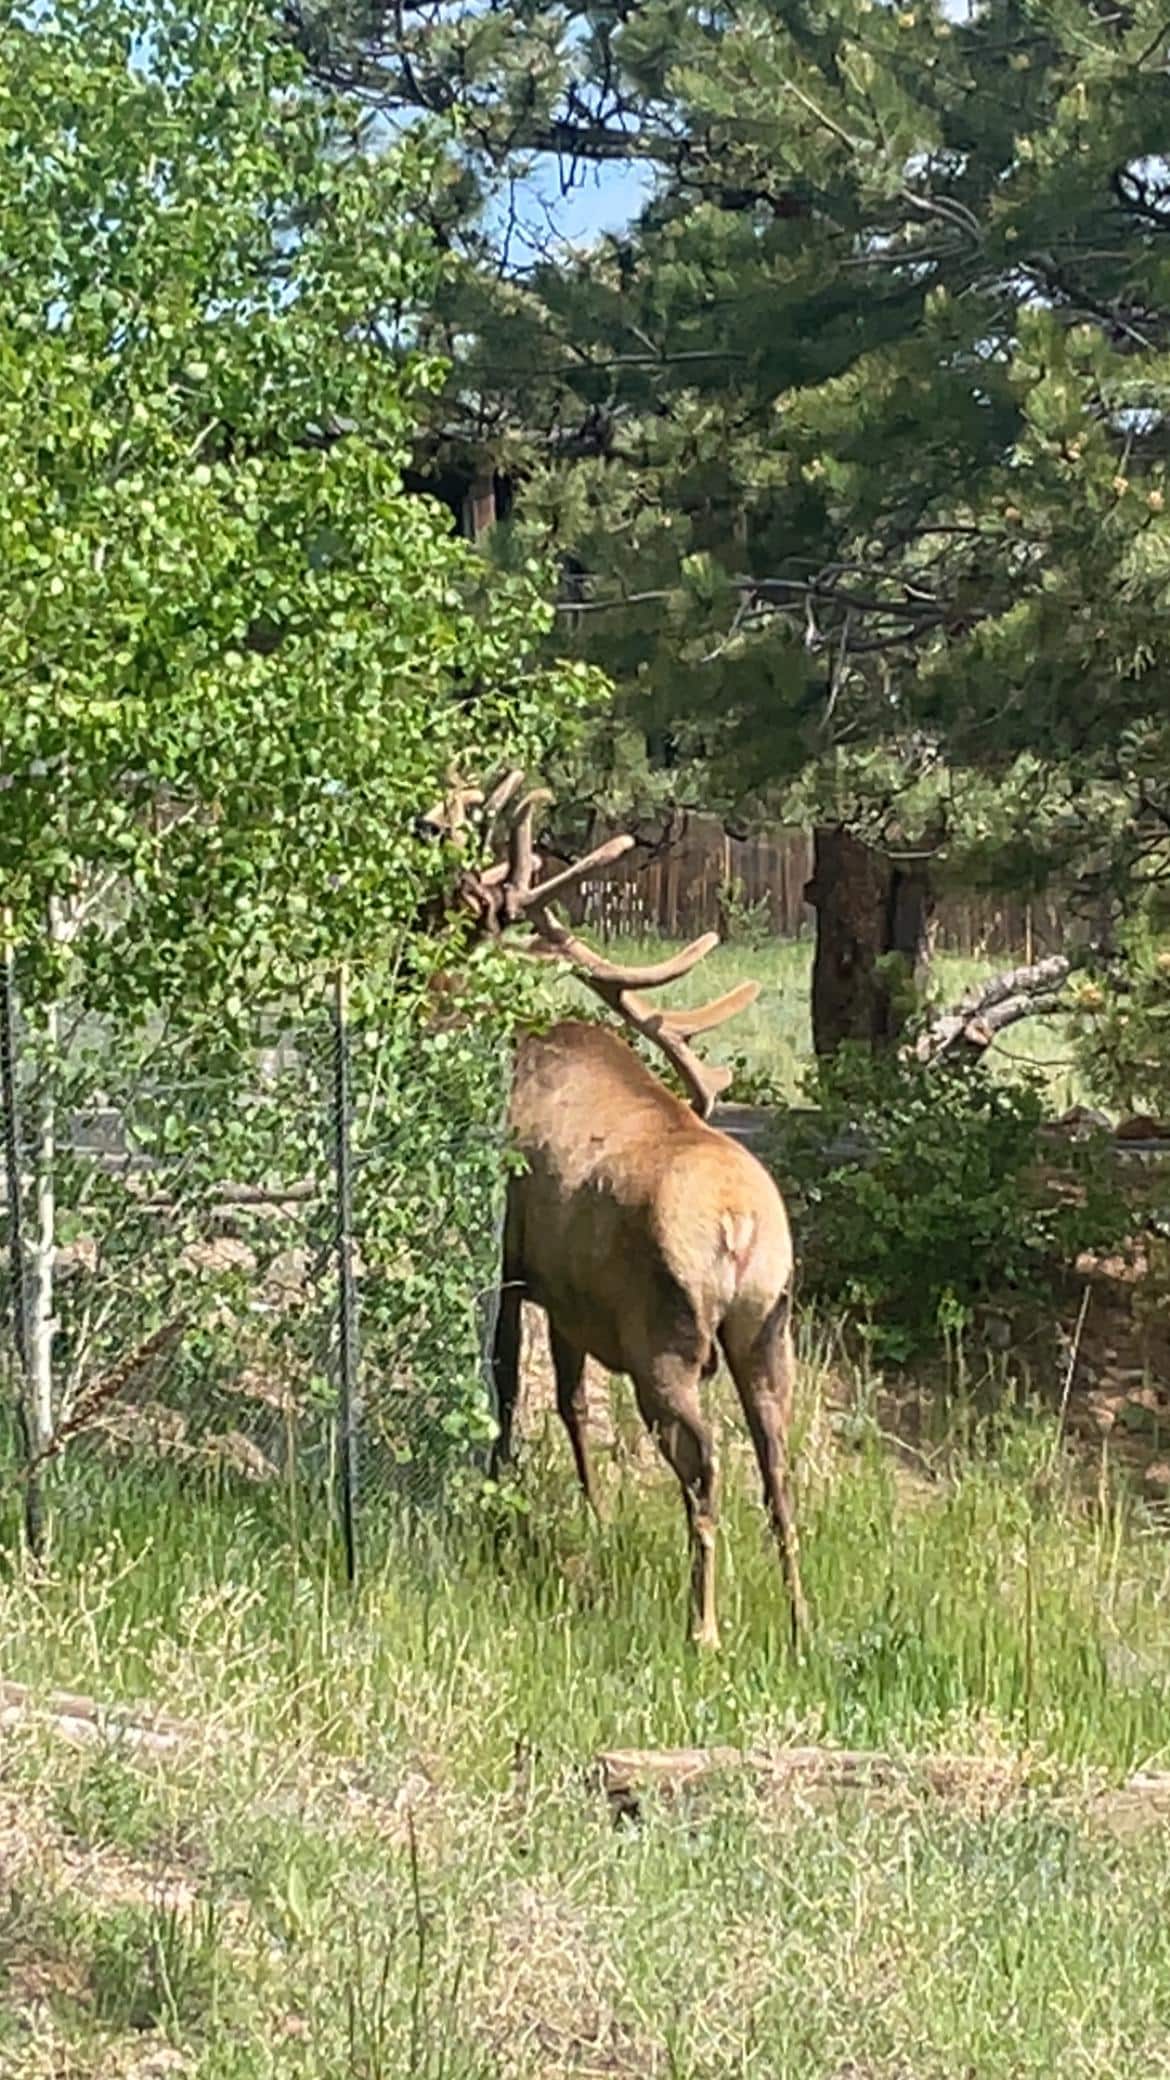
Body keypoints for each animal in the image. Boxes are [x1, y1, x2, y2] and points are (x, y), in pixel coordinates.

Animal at [418, 772, 807, 1653]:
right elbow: (570, 1403)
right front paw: (592, 1514)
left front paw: (504, 1498)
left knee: (706, 1469)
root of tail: (741, 1229)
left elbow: (504, 1387)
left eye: (437, 907)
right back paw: (802, 1625)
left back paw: (703, 1627)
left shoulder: (511, 1260)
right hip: (768, 1332)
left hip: (665, 1340)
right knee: (778, 1469)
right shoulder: (569, 1297)